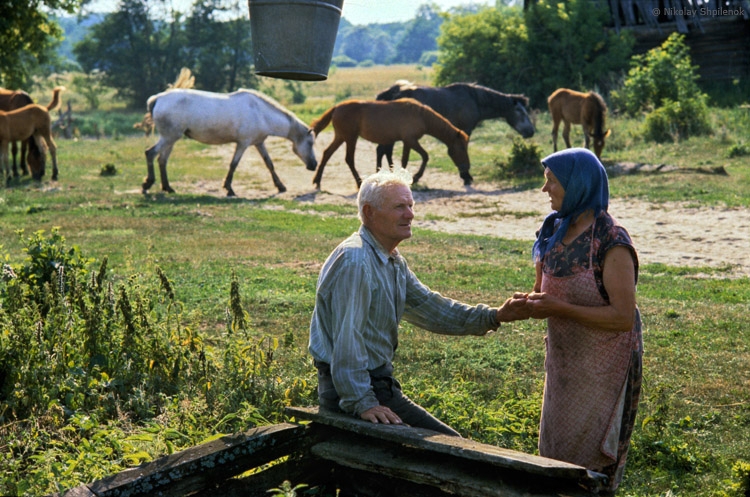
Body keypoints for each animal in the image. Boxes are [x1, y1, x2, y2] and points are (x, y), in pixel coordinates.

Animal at [143, 87, 318, 196]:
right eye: (310, 143)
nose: (314, 165)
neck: (260, 113)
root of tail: (157, 99)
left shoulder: (259, 143)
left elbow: (269, 164)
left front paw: (280, 186)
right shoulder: (243, 144)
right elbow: (234, 164)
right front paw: (229, 189)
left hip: (171, 139)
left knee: (162, 160)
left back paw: (167, 188)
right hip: (169, 138)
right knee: (150, 153)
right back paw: (147, 184)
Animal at [310, 98, 472, 189]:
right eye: (461, 148)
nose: (467, 174)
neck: (421, 115)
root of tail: (336, 107)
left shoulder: (407, 142)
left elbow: (404, 160)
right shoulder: (411, 140)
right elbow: (424, 156)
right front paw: (416, 177)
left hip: (341, 137)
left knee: (327, 153)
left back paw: (317, 181)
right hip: (350, 138)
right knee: (349, 159)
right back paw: (358, 182)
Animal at [376, 80, 536, 168]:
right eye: (521, 112)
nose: (531, 131)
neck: (474, 100)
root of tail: (390, 92)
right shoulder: (465, 129)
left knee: (384, 151)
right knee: (383, 150)